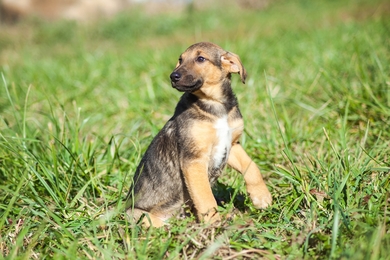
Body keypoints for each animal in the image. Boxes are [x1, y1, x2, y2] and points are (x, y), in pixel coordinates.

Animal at [125, 41, 272, 226]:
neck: (215, 104)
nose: (173, 76)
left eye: (200, 58)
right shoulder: (194, 159)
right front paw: (214, 224)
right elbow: (205, 198)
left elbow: (251, 166)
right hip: (139, 215)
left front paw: (261, 197)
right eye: (180, 60)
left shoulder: (231, 145)